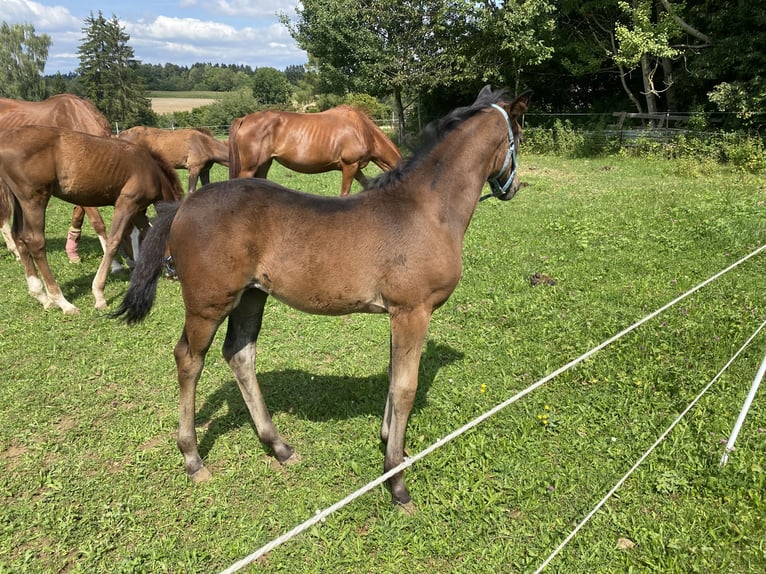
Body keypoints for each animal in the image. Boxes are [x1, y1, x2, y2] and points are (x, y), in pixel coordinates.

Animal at [0, 125, 184, 314]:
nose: (176, 274)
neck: (151, 171)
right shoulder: (127, 203)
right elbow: (113, 242)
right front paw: (99, 294)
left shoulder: (138, 210)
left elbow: (146, 231)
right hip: (34, 199)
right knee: (34, 241)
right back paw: (63, 302)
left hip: (20, 201)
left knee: (18, 237)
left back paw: (41, 296)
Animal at [228, 105, 402, 195]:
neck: (363, 130)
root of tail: (244, 119)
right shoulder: (350, 165)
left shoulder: (355, 168)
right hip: (250, 168)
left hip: (264, 164)